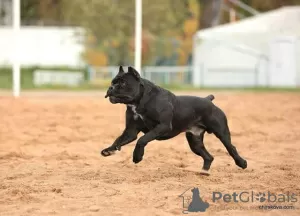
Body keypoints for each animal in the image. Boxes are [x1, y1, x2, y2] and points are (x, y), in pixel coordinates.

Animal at [101, 66, 246, 176]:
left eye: (123, 83)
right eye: (113, 82)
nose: (111, 88)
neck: (139, 102)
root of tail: (208, 100)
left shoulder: (162, 126)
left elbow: (142, 139)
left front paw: (137, 156)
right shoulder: (131, 131)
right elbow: (119, 140)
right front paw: (109, 150)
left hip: (221, 133)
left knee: (231, 148)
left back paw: (242, 163)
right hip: (195, 142)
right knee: (208, 156)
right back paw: (204, 172)